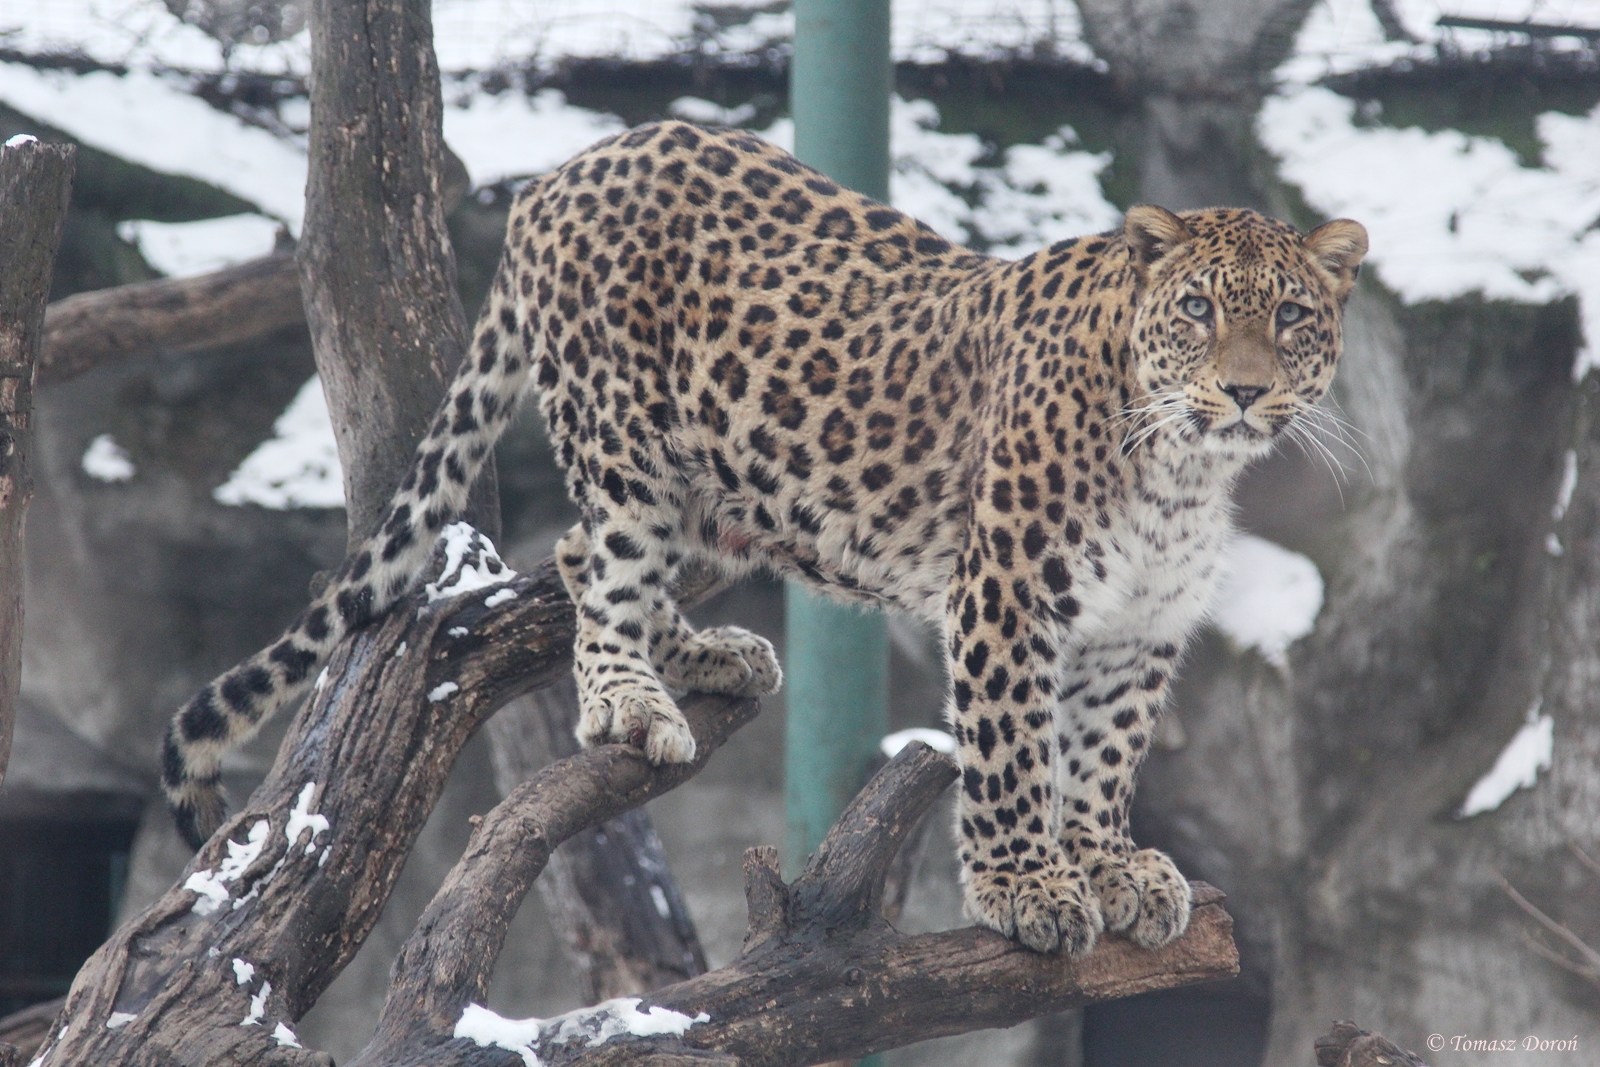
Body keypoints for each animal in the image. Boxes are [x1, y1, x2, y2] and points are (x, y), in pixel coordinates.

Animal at [162, 119, 1366, 956]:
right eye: (1200, 309)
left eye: (1291, 316)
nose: (1245, 391)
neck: (1183, 469)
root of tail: (568, 168)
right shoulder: (1006, 594)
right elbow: (1016, 749)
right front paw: (1025, 886)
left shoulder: (1138, 627)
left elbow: (1105, 757)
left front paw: (1111, 866)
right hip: (624, 435)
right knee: (601, 561)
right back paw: (631, 699)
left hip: (723, 481)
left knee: (600, 558)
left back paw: (707, 654)